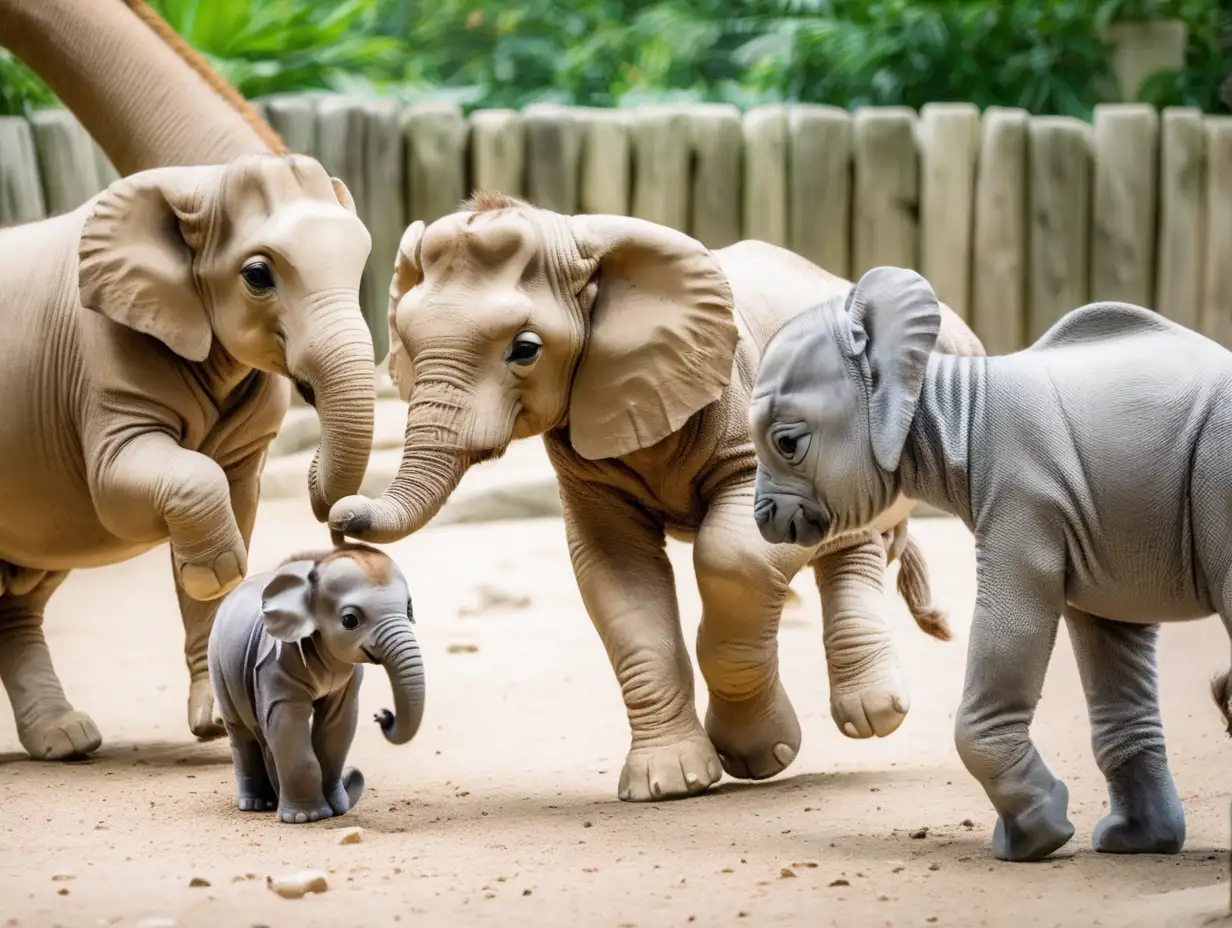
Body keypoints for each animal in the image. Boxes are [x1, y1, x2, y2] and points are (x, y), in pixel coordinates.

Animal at [0, 154, 374, 759]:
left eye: (362, 258)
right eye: (257, 276)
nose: (335, 514)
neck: (201, 183)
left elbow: (238, 500)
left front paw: (219, 720)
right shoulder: (103, 357)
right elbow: (117, 495)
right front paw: (212, 571)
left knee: (23, 592)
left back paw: (67, 741)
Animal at [209, 539, 426, 823]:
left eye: (409, 609)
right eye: (350, 620)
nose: (383, 715)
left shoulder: (348, 678)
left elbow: (338, 727)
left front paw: (337, 810)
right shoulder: (274, 663)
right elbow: (286, 722)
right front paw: (307, 817)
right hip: (219, 666)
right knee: (241, 733)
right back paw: (256, 804)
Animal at [332, 197, 985, 803]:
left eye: (525, 350)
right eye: (407, 341)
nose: (340, 519)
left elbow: (734, 556)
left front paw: (761, 756)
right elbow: (616, 575)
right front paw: (670, 784)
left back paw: (875, 715)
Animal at [744, 266, 1232, 862]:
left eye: (788, 443)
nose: (763, 519)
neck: (944, 393)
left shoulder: (1026, 495)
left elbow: (1016, 622)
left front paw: (1035, 843)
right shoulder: (1096, 523)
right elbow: (1109, 641)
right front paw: (1131, 843)